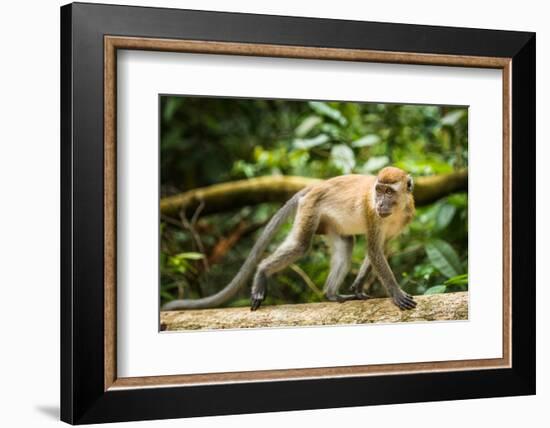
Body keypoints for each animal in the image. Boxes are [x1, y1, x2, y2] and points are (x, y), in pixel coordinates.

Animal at [164, 166, 418, 310]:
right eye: (378, 190)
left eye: (389, 191)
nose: (380, 203)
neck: (396, 210)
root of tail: (315, 187)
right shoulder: (372, 214)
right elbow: (374, 251)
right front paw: (395, 293)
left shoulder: (404, 217)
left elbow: (379, 250)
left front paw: (357, 286)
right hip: (311, 209)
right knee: (300, 245)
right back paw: (262, 272)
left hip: (326, 221)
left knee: (346, 245)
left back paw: (332, 294)